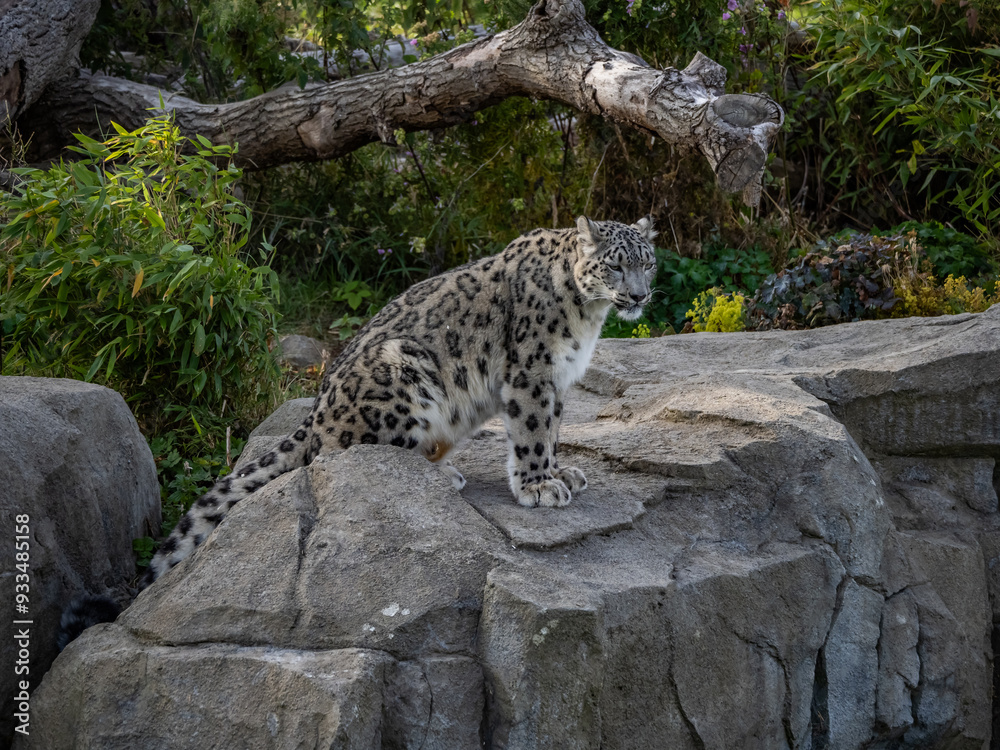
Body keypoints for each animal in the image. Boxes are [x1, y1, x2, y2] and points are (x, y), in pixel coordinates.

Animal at [142, 215, 657, 586]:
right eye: (614, 264)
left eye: (647, 262)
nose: (639, 294)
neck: (587, 318)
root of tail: (314, 413)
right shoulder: (531, 372)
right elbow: (532, 429)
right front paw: (539, 485)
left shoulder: (558, 378)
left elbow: (551, 428)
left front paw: (560, 471)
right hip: (404, 373)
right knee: (346, 456)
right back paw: (440, 476)